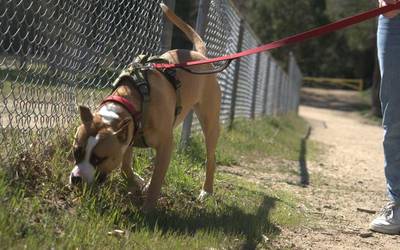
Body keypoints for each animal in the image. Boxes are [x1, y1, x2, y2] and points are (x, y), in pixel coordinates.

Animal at [71, 3, 222, 210]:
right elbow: (126, 166)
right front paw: (136, 183)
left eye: (98, 159)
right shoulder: (128, 135)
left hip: (210, 122)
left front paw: (148, 208)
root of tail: (200, 55)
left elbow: (157, 179)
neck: (134, 101)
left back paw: (206, 190)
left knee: (210, 157)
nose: (76, 178)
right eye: (76, 151)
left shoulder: (165, 144)